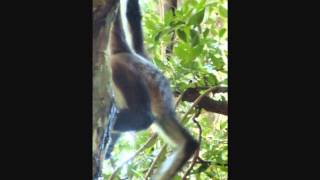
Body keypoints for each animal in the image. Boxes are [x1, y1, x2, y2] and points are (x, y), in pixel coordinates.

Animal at [106, 0, 199, 179]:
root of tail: (127, 53)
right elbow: (189, 145)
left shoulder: (164, 119)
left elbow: (189, 144)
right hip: (125, 72)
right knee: (143, 117)